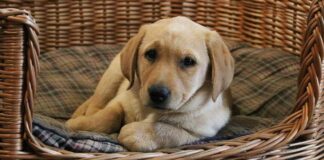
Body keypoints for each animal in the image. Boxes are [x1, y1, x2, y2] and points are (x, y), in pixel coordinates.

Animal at [66, 16, 234, 151]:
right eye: (151, 54)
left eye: (188, 61)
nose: (158, 94)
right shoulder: (119, 100)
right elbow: (108, 116)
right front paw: (77, 125)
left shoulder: (202, 130)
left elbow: (171, 131)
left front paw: (137, 134)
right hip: (112, 76)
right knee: (96, 103)